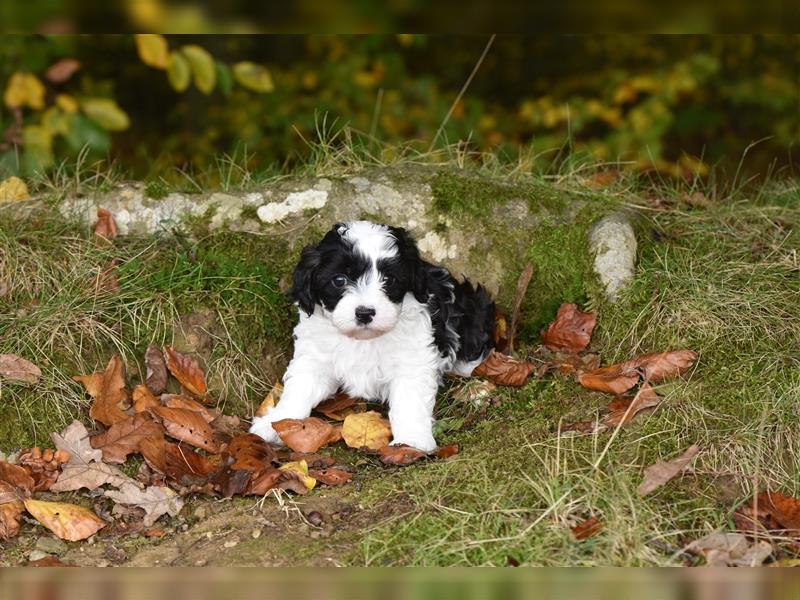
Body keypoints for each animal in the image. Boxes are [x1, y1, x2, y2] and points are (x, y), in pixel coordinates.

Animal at [250, 220, 494, 450]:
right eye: (339, 280)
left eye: (389, 279)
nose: (365, 313)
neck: (363, 339)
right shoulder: (314, 356)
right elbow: (298, 388)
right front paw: (276, 423)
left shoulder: (412, 360)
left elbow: (410, 400)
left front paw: (411, 441)